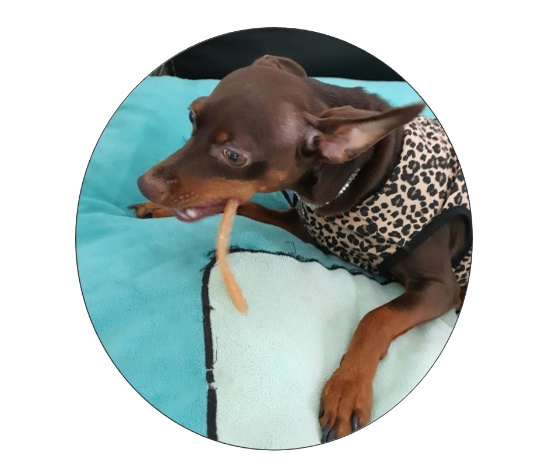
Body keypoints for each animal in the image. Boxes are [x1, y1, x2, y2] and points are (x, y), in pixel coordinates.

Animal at [130, 55, 472, 443]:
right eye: (191, 114)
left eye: (233, 155)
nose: (145, 184)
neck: (361, 175)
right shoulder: (305, 228)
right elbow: (243, 204)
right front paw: (157, 208)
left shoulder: (438, 287)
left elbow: (376, 317)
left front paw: (346, 388)